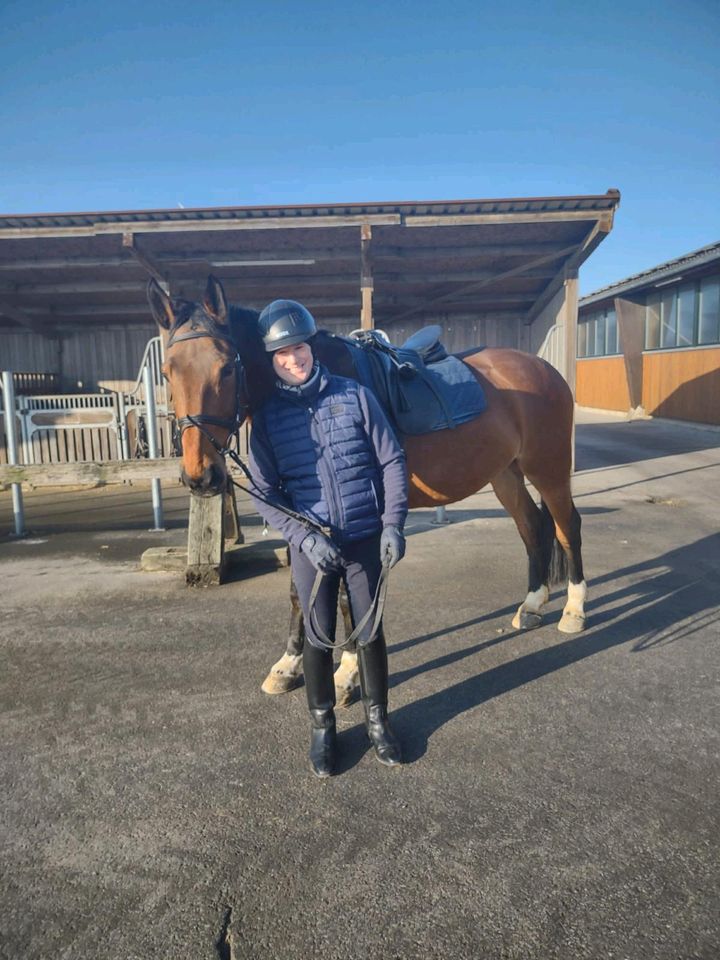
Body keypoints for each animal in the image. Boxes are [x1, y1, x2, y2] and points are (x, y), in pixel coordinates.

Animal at [149, 278, 588, 704]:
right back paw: (532, 605)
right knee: (532, 528)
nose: (200, 476)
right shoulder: (303, 515)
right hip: (506, 474)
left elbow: (349, 598)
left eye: (226, 368)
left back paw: (574, 611)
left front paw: (346, 672)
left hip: (547, 468)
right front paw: (288, 665)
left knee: (567, 527)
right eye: (168, 373)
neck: (310, 398)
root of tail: (542, 368)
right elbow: (298, 590)